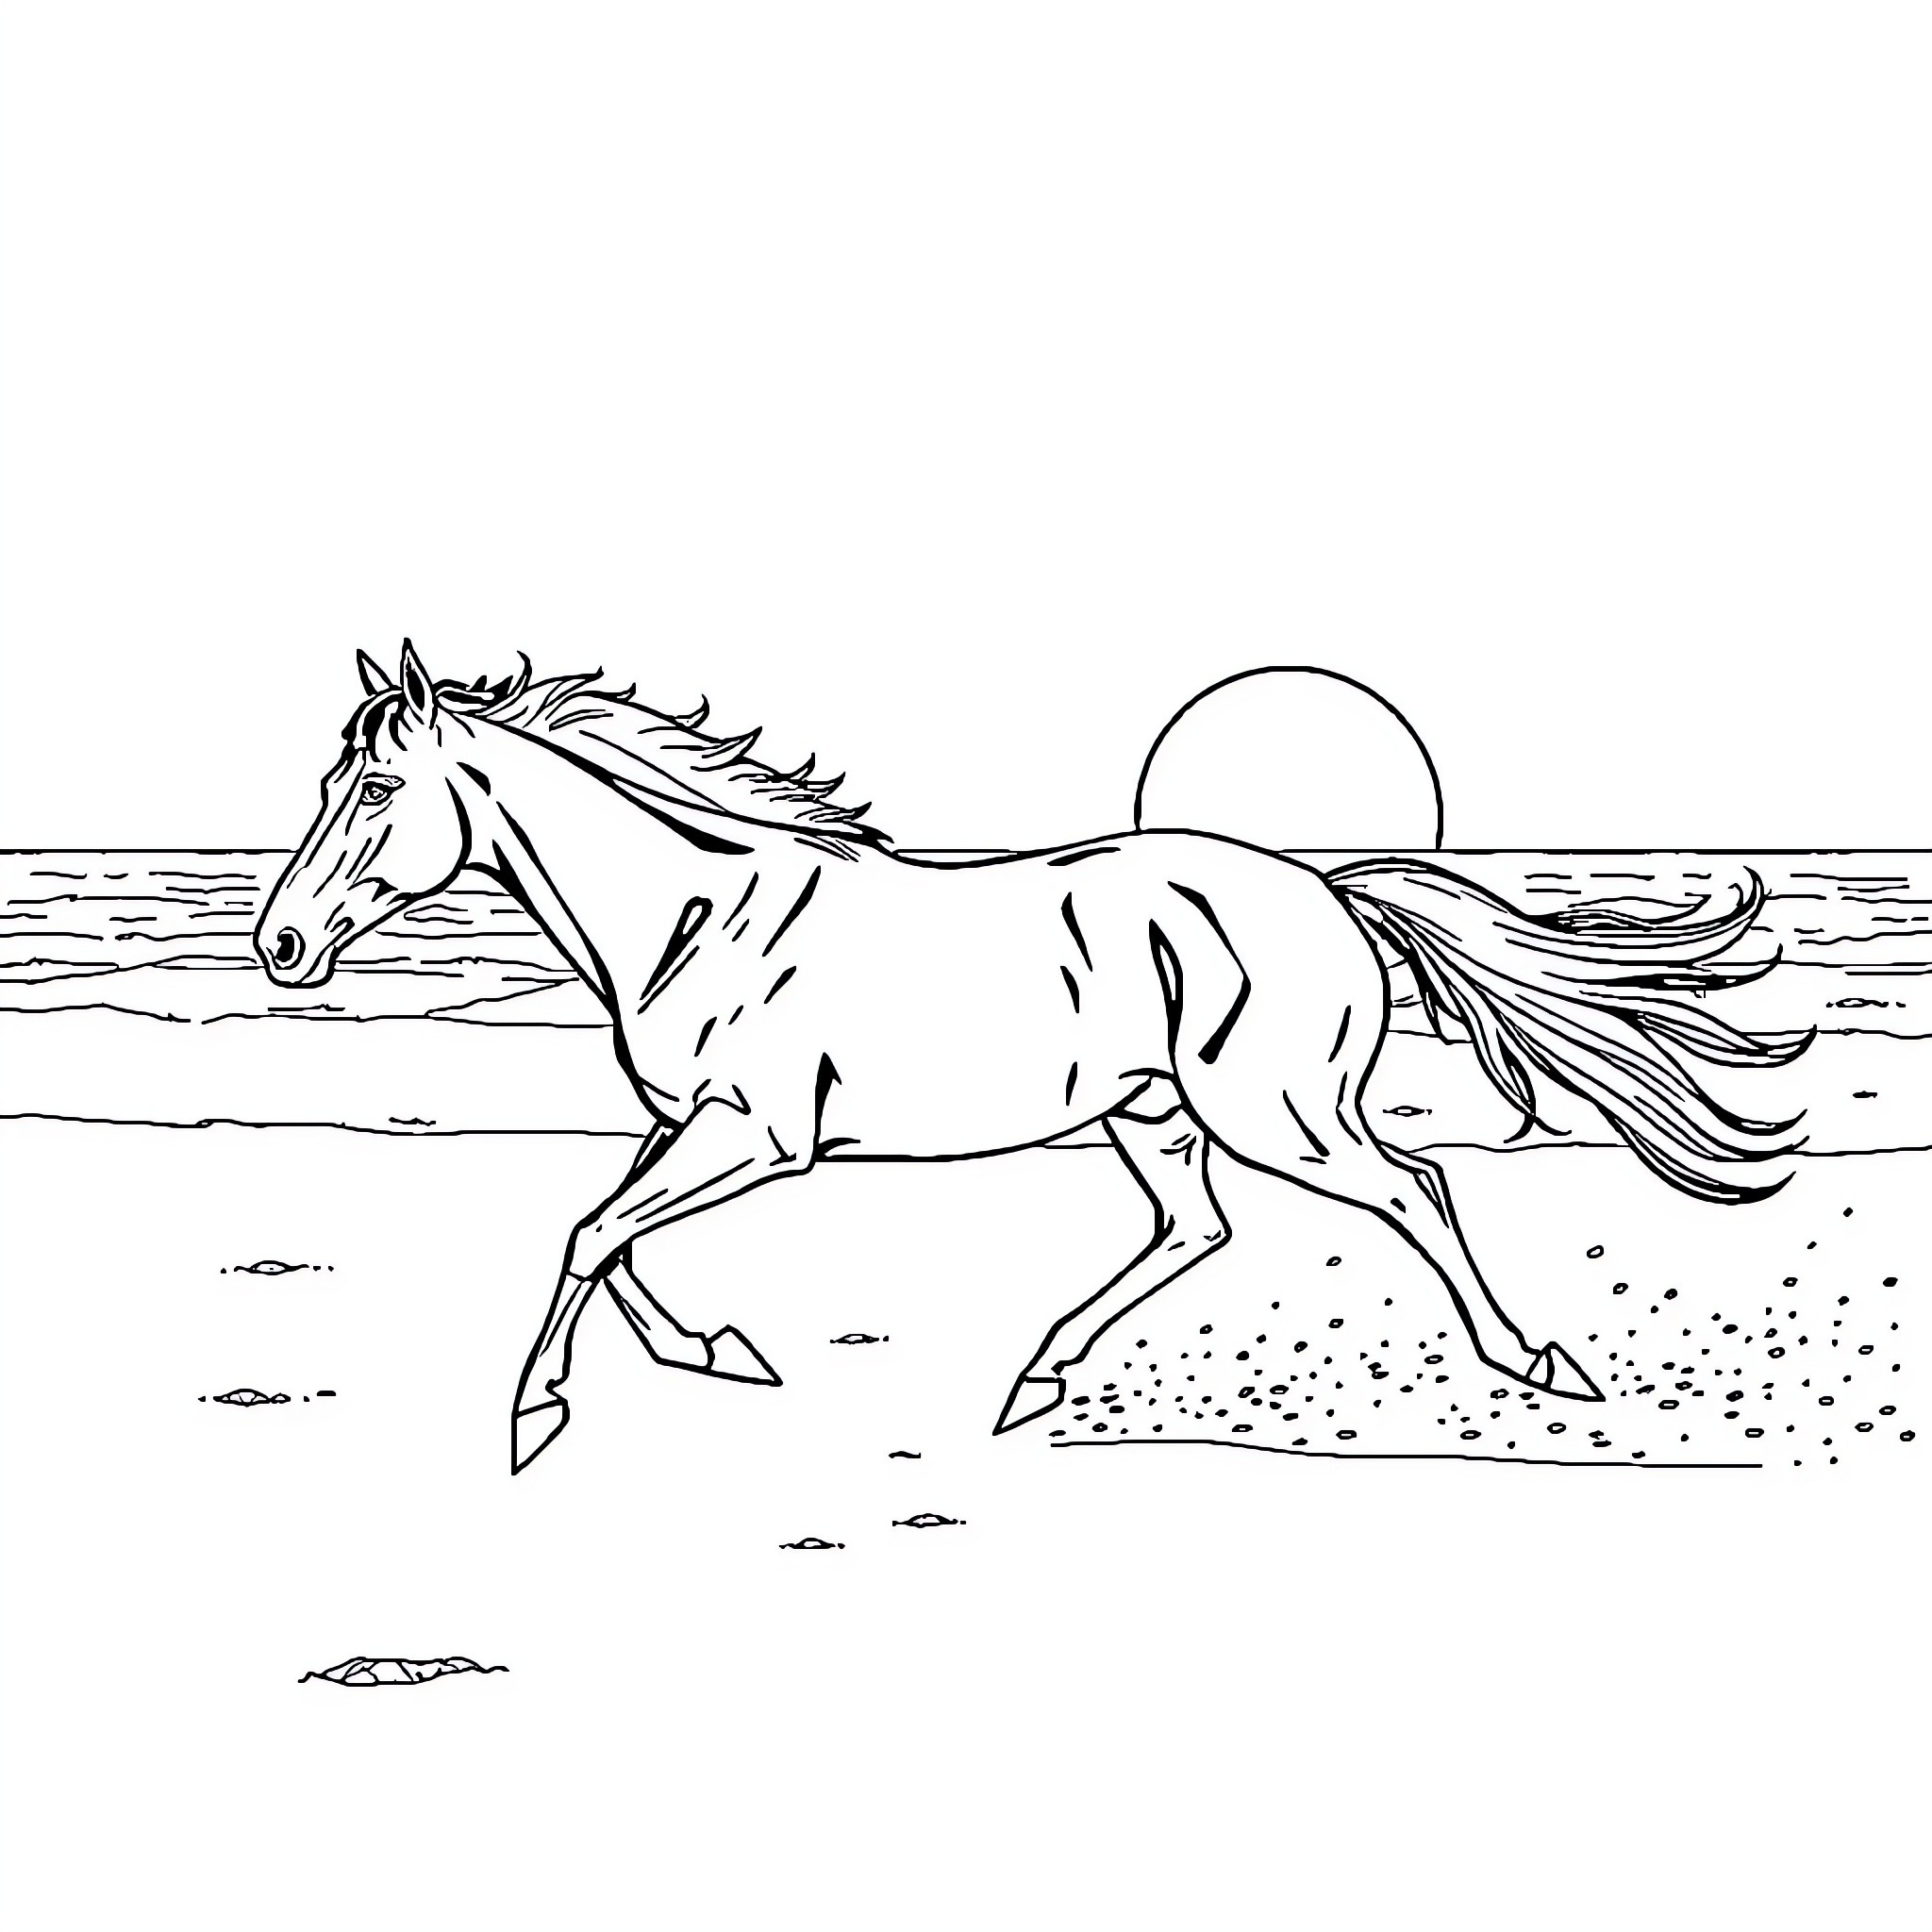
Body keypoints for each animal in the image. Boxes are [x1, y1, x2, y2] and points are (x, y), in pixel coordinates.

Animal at [255, 643, 1809, 1471]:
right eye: (330, 777)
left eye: (376, 786)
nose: (278, 947)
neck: (702, 906)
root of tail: (1322, 887)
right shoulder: (691, 1123)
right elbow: (612, 1235)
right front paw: (719, 1352)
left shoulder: (759, 1136)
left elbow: (590, 1232)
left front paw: (534, 1416)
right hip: (1152, 1115)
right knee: (1196, 1228)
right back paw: (1031, 1384)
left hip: (1277, 1111)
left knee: (1410, 1187)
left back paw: (1540, 1362)